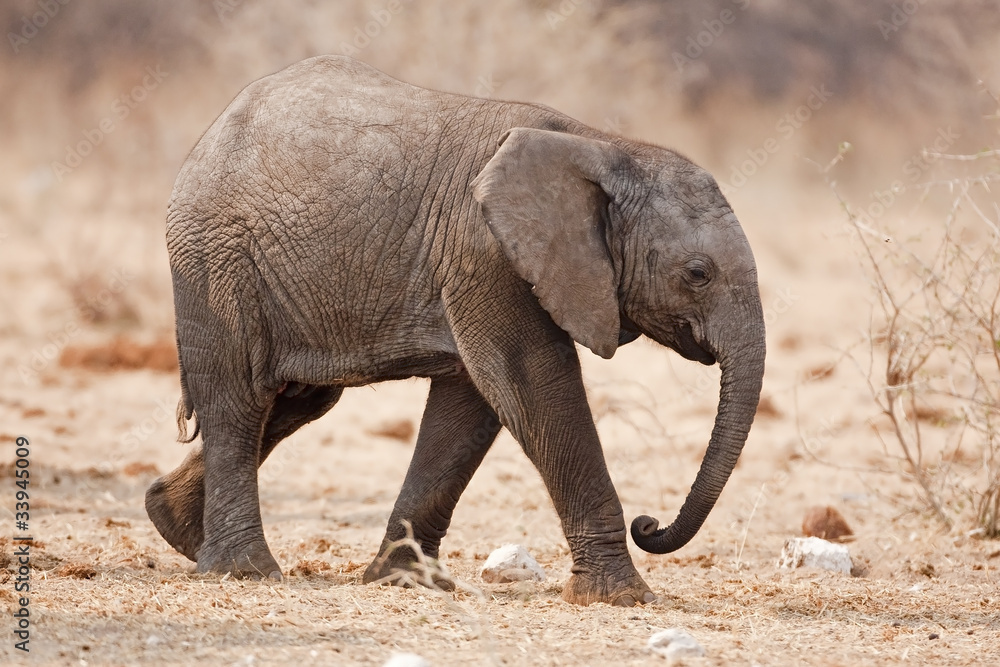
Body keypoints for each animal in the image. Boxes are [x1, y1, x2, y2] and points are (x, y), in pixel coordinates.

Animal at [145, 56, 760, 612]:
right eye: (698, 274)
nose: (647, 523)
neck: (604, 146)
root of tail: (210, 135)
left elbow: (471, 405)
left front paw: (405, 583)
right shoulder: (486, 256)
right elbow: (533, 383)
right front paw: (623, 597)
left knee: (296, 401)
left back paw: (176, 529)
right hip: (216, 258)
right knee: (241, 398)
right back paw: (243, 571)